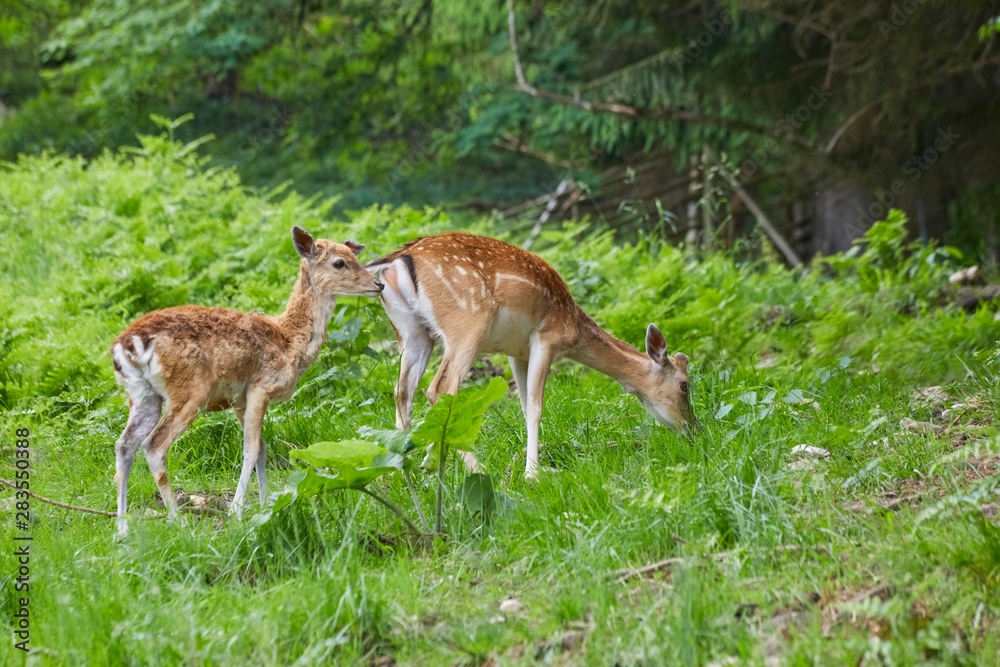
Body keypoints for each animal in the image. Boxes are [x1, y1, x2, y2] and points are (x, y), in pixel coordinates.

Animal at [111, 227, 384, 540]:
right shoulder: (260, 387)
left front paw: (267, 506)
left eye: (356, 256)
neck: (289, 342)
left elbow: (263, 451)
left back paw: (121, 528)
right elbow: (251, 449)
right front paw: (237, 511)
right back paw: (179, 522)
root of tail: (127, 345)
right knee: (154, 445)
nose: (378, 284)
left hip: (142, 395)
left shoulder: (239, 400)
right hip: (190, 390)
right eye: (340, 263)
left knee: (124, 445)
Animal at [364, 232, 700, 478]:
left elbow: (524, 406)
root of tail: (395, 260)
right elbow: (537, 407)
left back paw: (405, 475)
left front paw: (533, 464)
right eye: (684, 385)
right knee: (440, 388)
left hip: (411, 333)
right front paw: (533, 474)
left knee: (402, 392)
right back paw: (479, 470)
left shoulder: (516, 352)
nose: (695, 429)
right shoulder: (546, 338)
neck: (572, 328)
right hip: (466, 322)